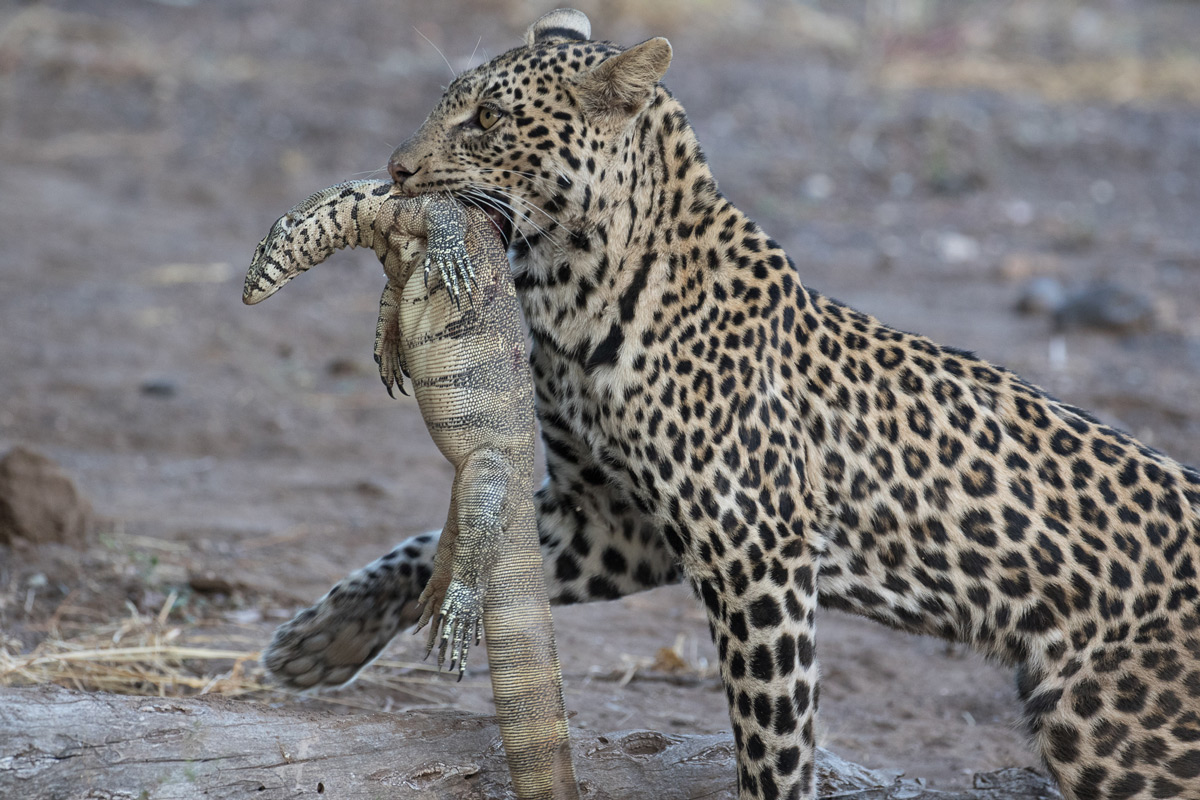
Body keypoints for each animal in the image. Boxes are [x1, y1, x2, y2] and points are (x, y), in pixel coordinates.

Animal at [262, 7, 1200, 800]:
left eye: (488, 118)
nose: (395, 171)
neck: (570, 288)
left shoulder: (755, 548)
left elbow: (773, 731)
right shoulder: (613, 523)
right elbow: (425, 543)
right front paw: (320, 640)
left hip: (1104, 729)